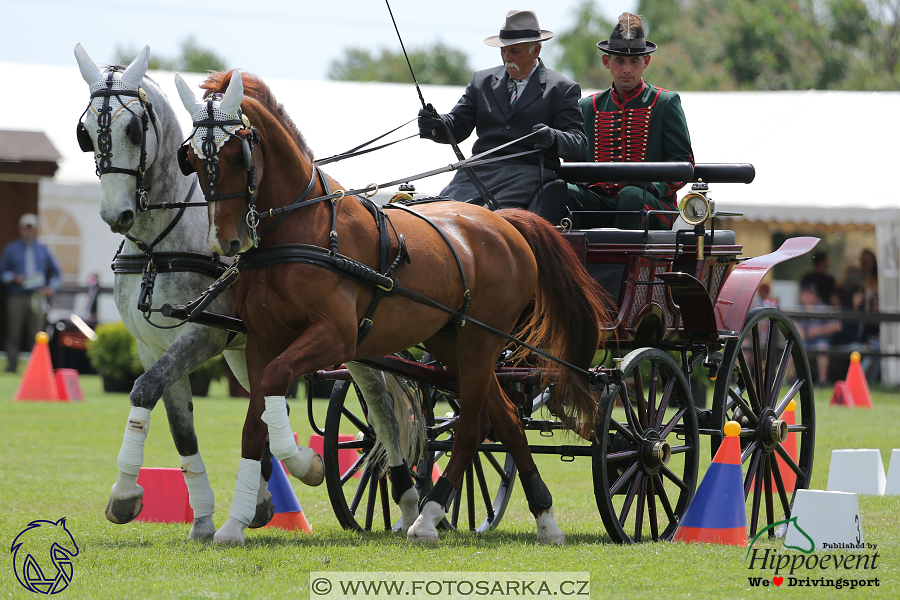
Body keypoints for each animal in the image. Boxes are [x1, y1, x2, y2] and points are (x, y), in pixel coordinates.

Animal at [174, 70, 612, 544]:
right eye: (192, 157)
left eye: (238, 155)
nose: (226, 241)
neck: (302, 230)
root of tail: (504, 220)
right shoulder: (261, 342)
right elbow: (255, 423)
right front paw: (235, 522)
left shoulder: (336, 337)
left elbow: (275, 388)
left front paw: (305, 465)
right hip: (451, 342)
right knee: (507, 419)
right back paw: (545, 519)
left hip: (481, 340)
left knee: (471, 427)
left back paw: (429, 516)